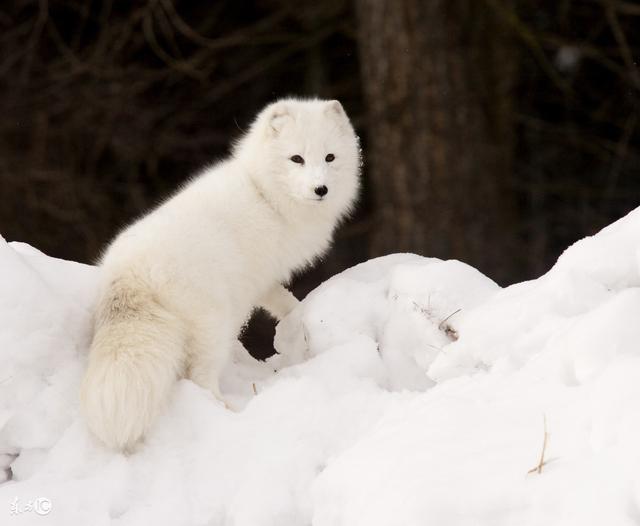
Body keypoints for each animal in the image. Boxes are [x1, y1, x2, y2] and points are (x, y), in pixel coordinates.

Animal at [80, 98, 360, 450]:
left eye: (329, 157)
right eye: (297, 159)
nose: (320, 189)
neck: (265, 195)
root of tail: (128, 273)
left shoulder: (262, 280)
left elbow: (283, 302)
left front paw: (298, 316)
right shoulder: (261, 273)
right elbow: (285, 301)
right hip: (214, 326)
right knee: (199, 377)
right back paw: (226, 412)